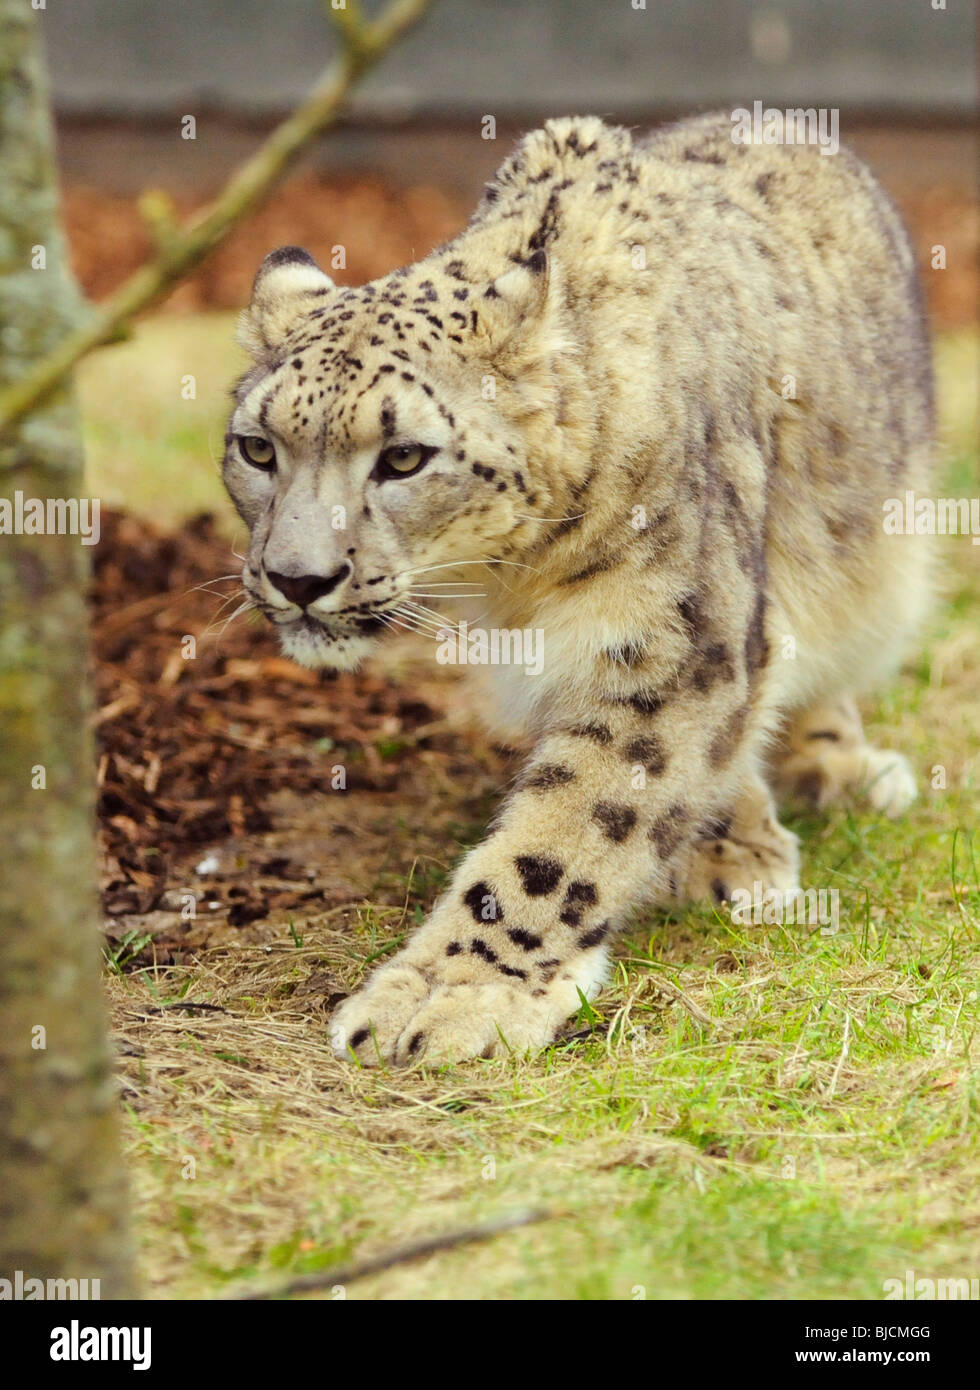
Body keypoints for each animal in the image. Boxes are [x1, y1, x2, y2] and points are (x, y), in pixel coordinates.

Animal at [223, 112, 934, 1066]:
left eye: (404, 456)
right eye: (258, 448)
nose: (298, 577)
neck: (512, 582)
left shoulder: (674, 642)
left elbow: (567, 834)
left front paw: (447, 995)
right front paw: (726, 847)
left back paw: (838, 767)